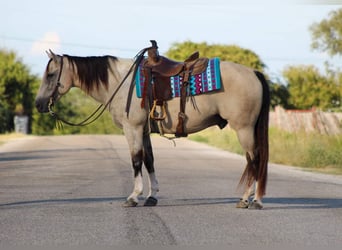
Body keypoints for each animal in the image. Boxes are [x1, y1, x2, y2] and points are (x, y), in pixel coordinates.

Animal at [34, 42, 270, 210]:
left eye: (51, 74)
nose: (38, 104)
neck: (120, 82)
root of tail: (254, 73)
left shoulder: (133, 128)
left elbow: (136, 160)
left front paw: (133, 196)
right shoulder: (145, 130)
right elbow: (149, 161)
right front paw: (151, 196)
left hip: (244, 129)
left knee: (255, 160)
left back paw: (252, 201)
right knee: (252, 161)